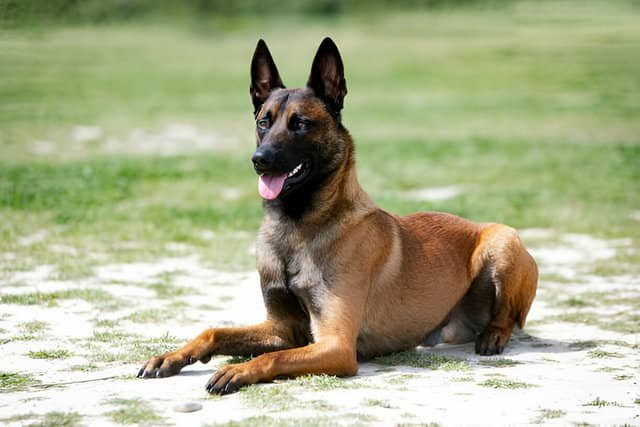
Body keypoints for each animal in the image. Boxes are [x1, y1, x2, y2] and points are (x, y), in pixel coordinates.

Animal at [138, 38, 536, 396]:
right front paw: (170, 356)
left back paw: (493, 336)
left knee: (507, 316)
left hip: (503, 240)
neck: (296, 227)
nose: (259, 160)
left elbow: (273, 358)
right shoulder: (282, 329)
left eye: (300, 124)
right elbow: (215, 331)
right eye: (264, 122)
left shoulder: (336, 345)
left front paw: (236, 370)